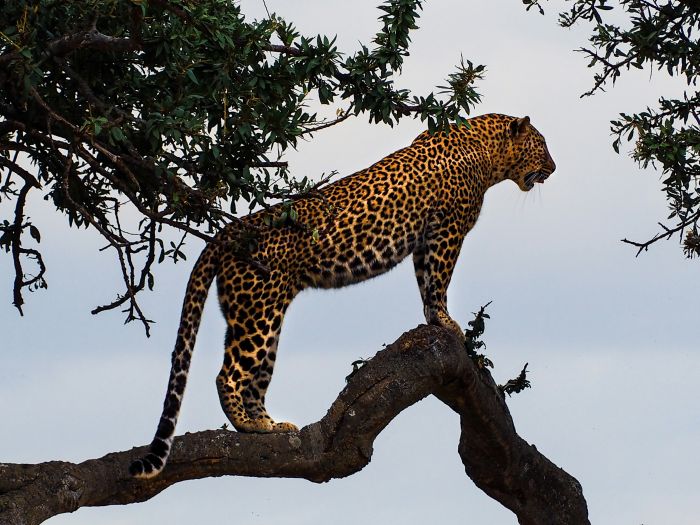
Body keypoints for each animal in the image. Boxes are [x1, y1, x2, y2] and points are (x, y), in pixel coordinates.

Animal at [129, 113, 556, 478]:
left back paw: (268, 426)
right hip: (259, 314)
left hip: (258, 315)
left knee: (254, 375)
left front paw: (435, 320)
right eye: (541, 145)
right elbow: (439, 281)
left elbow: (425, 282)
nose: (553, 169)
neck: (488, 152)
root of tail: (231, 230)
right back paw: (249, 425)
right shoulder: (447, 231)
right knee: (228, 374)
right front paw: (447, 323)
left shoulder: (424, 241)